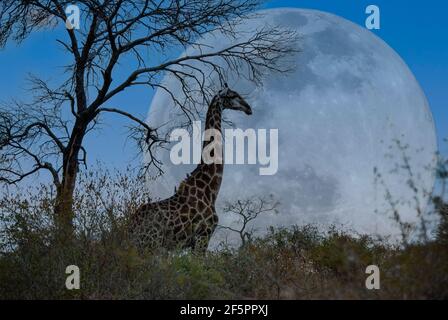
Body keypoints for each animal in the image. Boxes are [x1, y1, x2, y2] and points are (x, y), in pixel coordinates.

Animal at [130, 85, 252, 252]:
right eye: (233, 95)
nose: (248, 108)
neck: (210, 190)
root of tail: (130, 226)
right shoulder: (203, 235)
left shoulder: (194, 242)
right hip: (150, 243)